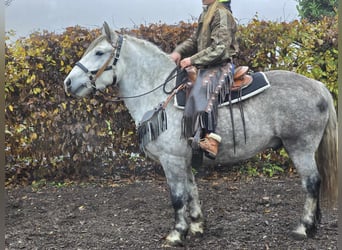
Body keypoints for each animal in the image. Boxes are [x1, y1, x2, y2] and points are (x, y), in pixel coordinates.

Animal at [63, 22, 336, 247]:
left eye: (99, 53)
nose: (68, 83)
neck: (159, 94)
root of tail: (319, 86)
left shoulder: (171, 159)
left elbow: (177, 196)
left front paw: (176, 233)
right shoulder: (184, 158)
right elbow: (191, 191)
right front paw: (196, 226)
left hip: (300, 147)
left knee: (312, 182)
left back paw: (303, 228)